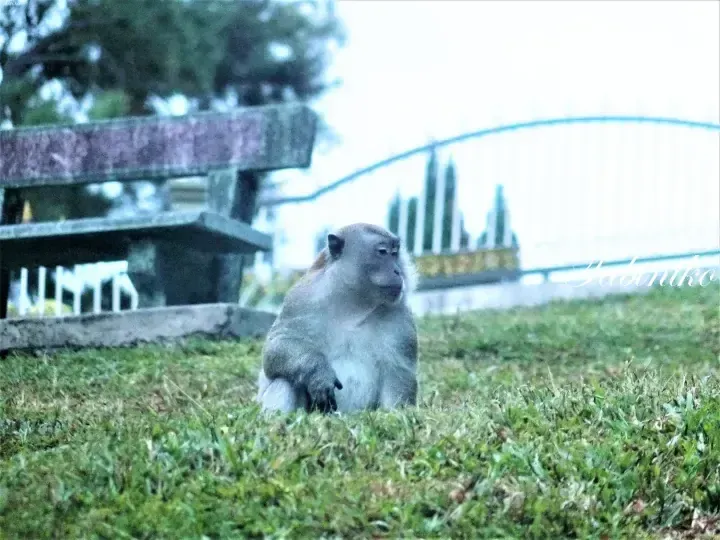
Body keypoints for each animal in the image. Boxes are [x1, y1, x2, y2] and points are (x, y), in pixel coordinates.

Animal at [256, 223, 419, 414]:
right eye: (382, 252)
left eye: (395, 253)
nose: (398, 271)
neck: (354, 306)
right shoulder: (300, 299)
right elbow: (277, 346)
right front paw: (317, 372)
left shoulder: (401, 316)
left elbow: (399, 371)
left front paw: (396, 414)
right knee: (284, 380)